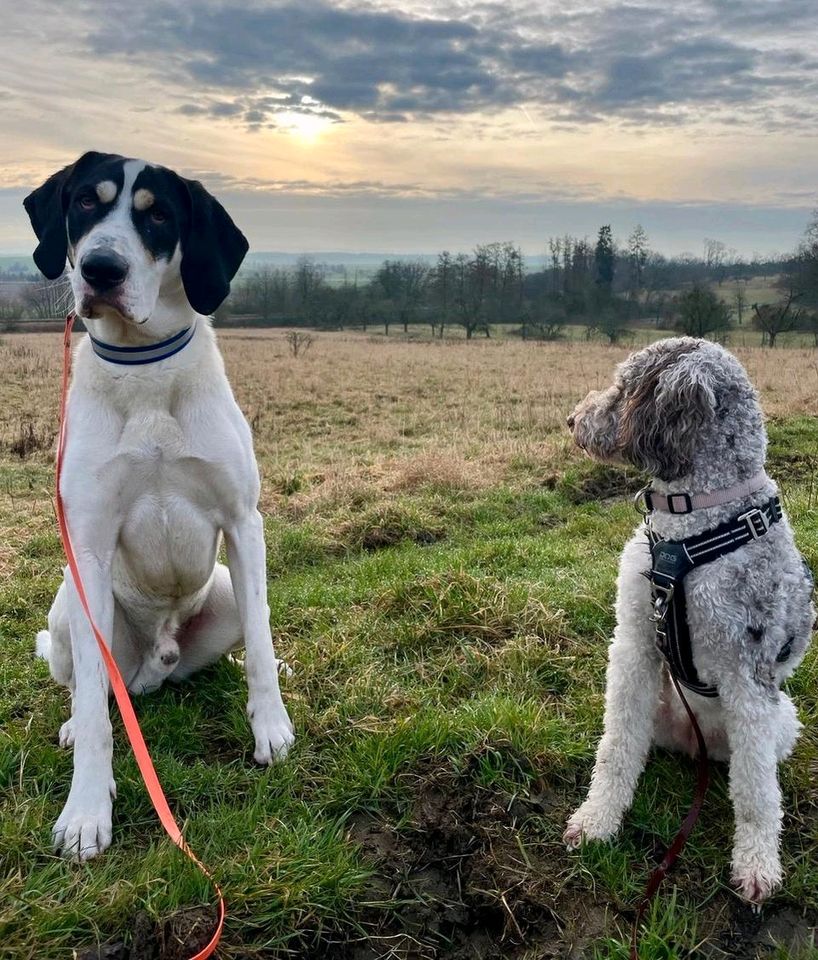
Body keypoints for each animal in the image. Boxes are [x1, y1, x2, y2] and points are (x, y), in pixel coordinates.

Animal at [24, 152, 294, 864]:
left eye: (159, 216)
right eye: (85, 204)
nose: (100, 270)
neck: (144, 372)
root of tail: (156, 659)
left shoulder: (244, 523)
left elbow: (261, 642)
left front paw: (272, 727)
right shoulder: (87, 544)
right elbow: (97, 708)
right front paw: (86, 811)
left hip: (222, 588)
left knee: (241, 636)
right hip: (67, 609)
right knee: (92, 688)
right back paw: (75, 721)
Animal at [564, 336, 812, 900]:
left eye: (624, 386)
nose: (572, 420)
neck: (692, 525)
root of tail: (691, 740)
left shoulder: (749, 677)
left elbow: (758, 793)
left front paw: (757, 864)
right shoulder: (634, 644)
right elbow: (616, 748)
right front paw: (597, 820)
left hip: (781, 719)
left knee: (746, 769)